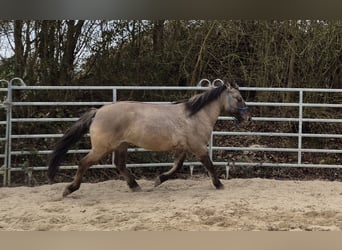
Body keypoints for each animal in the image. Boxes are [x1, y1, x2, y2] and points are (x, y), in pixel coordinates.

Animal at [47, 81, 251, 196]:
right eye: (239, 98)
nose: (248, 118)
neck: (195, 115)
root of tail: (97, 111)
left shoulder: (183, 148)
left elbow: (177, 166)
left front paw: (159, 179)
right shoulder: (198, 147)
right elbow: (209, 165)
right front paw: (219, 185)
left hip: (121, 145)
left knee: (119, 165)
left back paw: (135, 186)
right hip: (101, 148)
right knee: (83, 163)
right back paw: (69, 189)